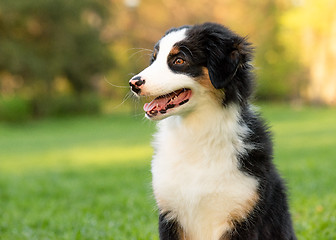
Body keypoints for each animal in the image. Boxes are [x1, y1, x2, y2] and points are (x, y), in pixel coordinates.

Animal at [129, 21, 296, 239]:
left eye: (179, 60)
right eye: (154, 59)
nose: (133, 83)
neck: (197, 133)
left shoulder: (243, 214)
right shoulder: (170, 213)